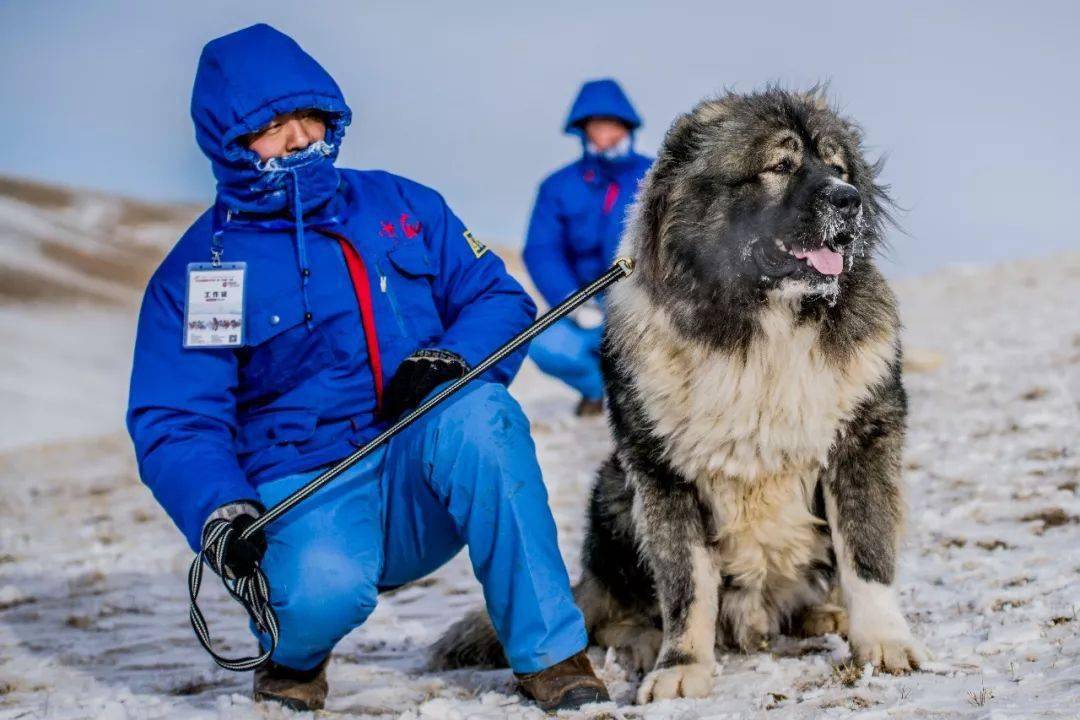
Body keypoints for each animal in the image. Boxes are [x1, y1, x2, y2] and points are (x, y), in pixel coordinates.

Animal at [429, 88, 928, 703]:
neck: (762, 331)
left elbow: (867, 554)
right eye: (780, 166)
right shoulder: (661, 473)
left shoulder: (861, 443)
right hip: (614, 491)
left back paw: (823, 614)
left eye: (838, 168)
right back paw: (642, 642)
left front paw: (883, 640)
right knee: (615, 611)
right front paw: (681, 665)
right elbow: (687, 585)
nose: (849, 200)